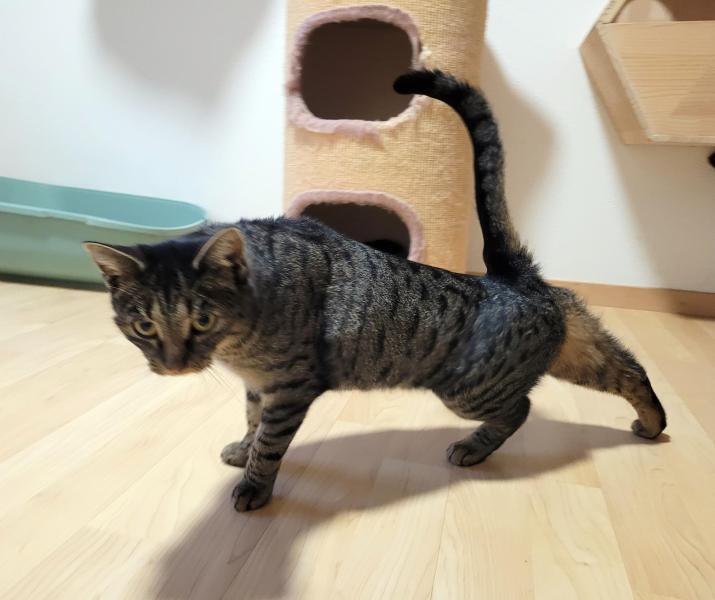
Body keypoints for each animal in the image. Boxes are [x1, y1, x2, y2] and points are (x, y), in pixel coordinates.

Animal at [85, 69, 666, 512]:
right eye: (143, 325)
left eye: (201, 319)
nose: (174, 364)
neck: (241, 340)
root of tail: (511, 276)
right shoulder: (259, 386)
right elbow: (251, 423)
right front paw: (242, 450)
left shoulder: (290, 388)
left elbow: (269, 443)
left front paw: (253, 485)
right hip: (576, 348)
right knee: (631, 370)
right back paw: (651, 423)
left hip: (472, 388)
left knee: (521, 409)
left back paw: (474, 449)